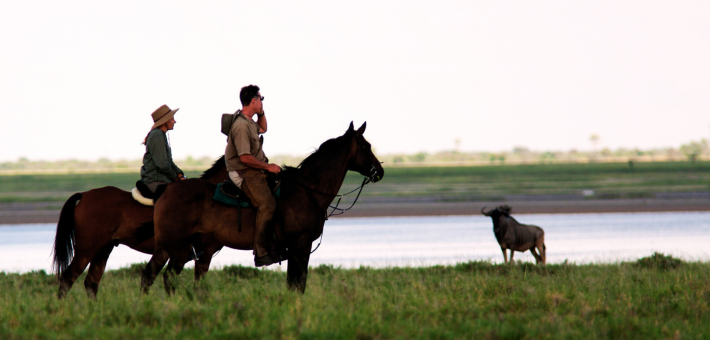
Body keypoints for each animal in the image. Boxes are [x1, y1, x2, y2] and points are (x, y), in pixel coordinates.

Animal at [52, 155, 228, 298]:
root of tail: (84, 195)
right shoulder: (203, 254)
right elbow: (195, 284)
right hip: (86, 250)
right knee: (67, 278)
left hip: (103, 250)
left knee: (91, 283)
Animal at [140, 123, 384, 294]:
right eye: (367, 146)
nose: (379, 171)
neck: (307, 189)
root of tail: (166, 190)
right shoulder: (300, 246)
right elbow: (297, 285)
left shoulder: (296, 249)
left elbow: (294, 284)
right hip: (167, 245)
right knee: (149, 274)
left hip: (184, 249)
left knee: (169, 277)